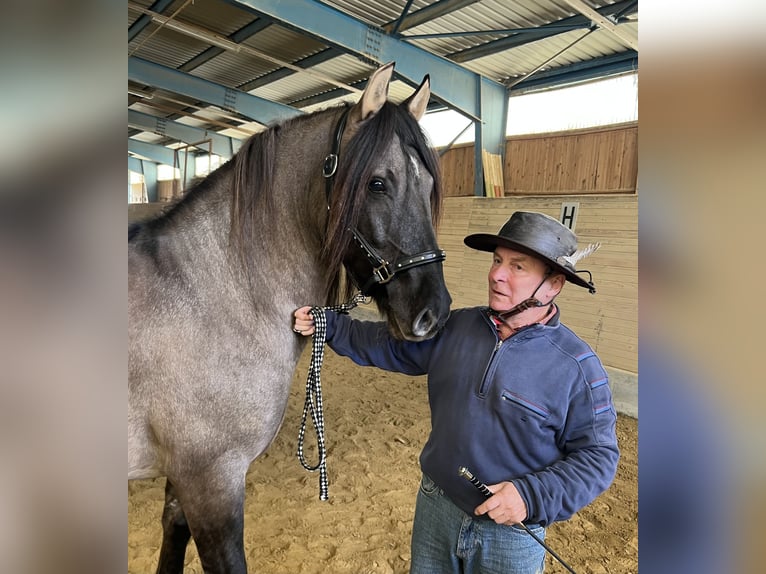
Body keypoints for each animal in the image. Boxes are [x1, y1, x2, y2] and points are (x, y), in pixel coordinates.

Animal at [128, 62, 452, 573]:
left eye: (428, 186)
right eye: (378, 183)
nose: (433, 313)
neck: (204, 296)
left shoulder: (184, 478)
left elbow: (172, 533)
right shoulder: (211, 481)